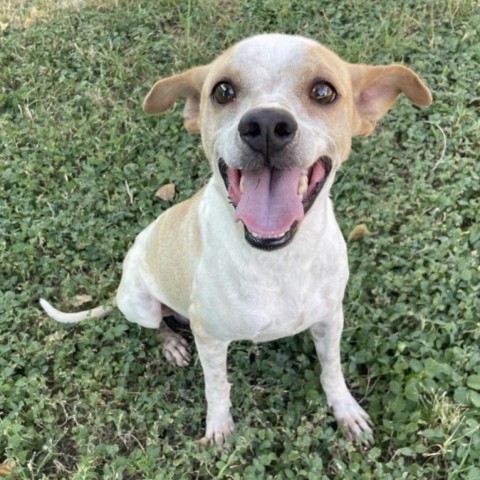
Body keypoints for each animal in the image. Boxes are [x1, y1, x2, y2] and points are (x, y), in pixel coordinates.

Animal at [39, 33, 434, 446]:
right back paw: (172, 344)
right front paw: (218, 426)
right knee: (157, 323)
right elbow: (217, 386)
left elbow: (332, 369)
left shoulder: (330, 319)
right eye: (223, 91)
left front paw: (345, 410)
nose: (266, 124)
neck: (277, 260)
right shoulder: (210, 338)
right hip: (140, 302)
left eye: (323, 91)